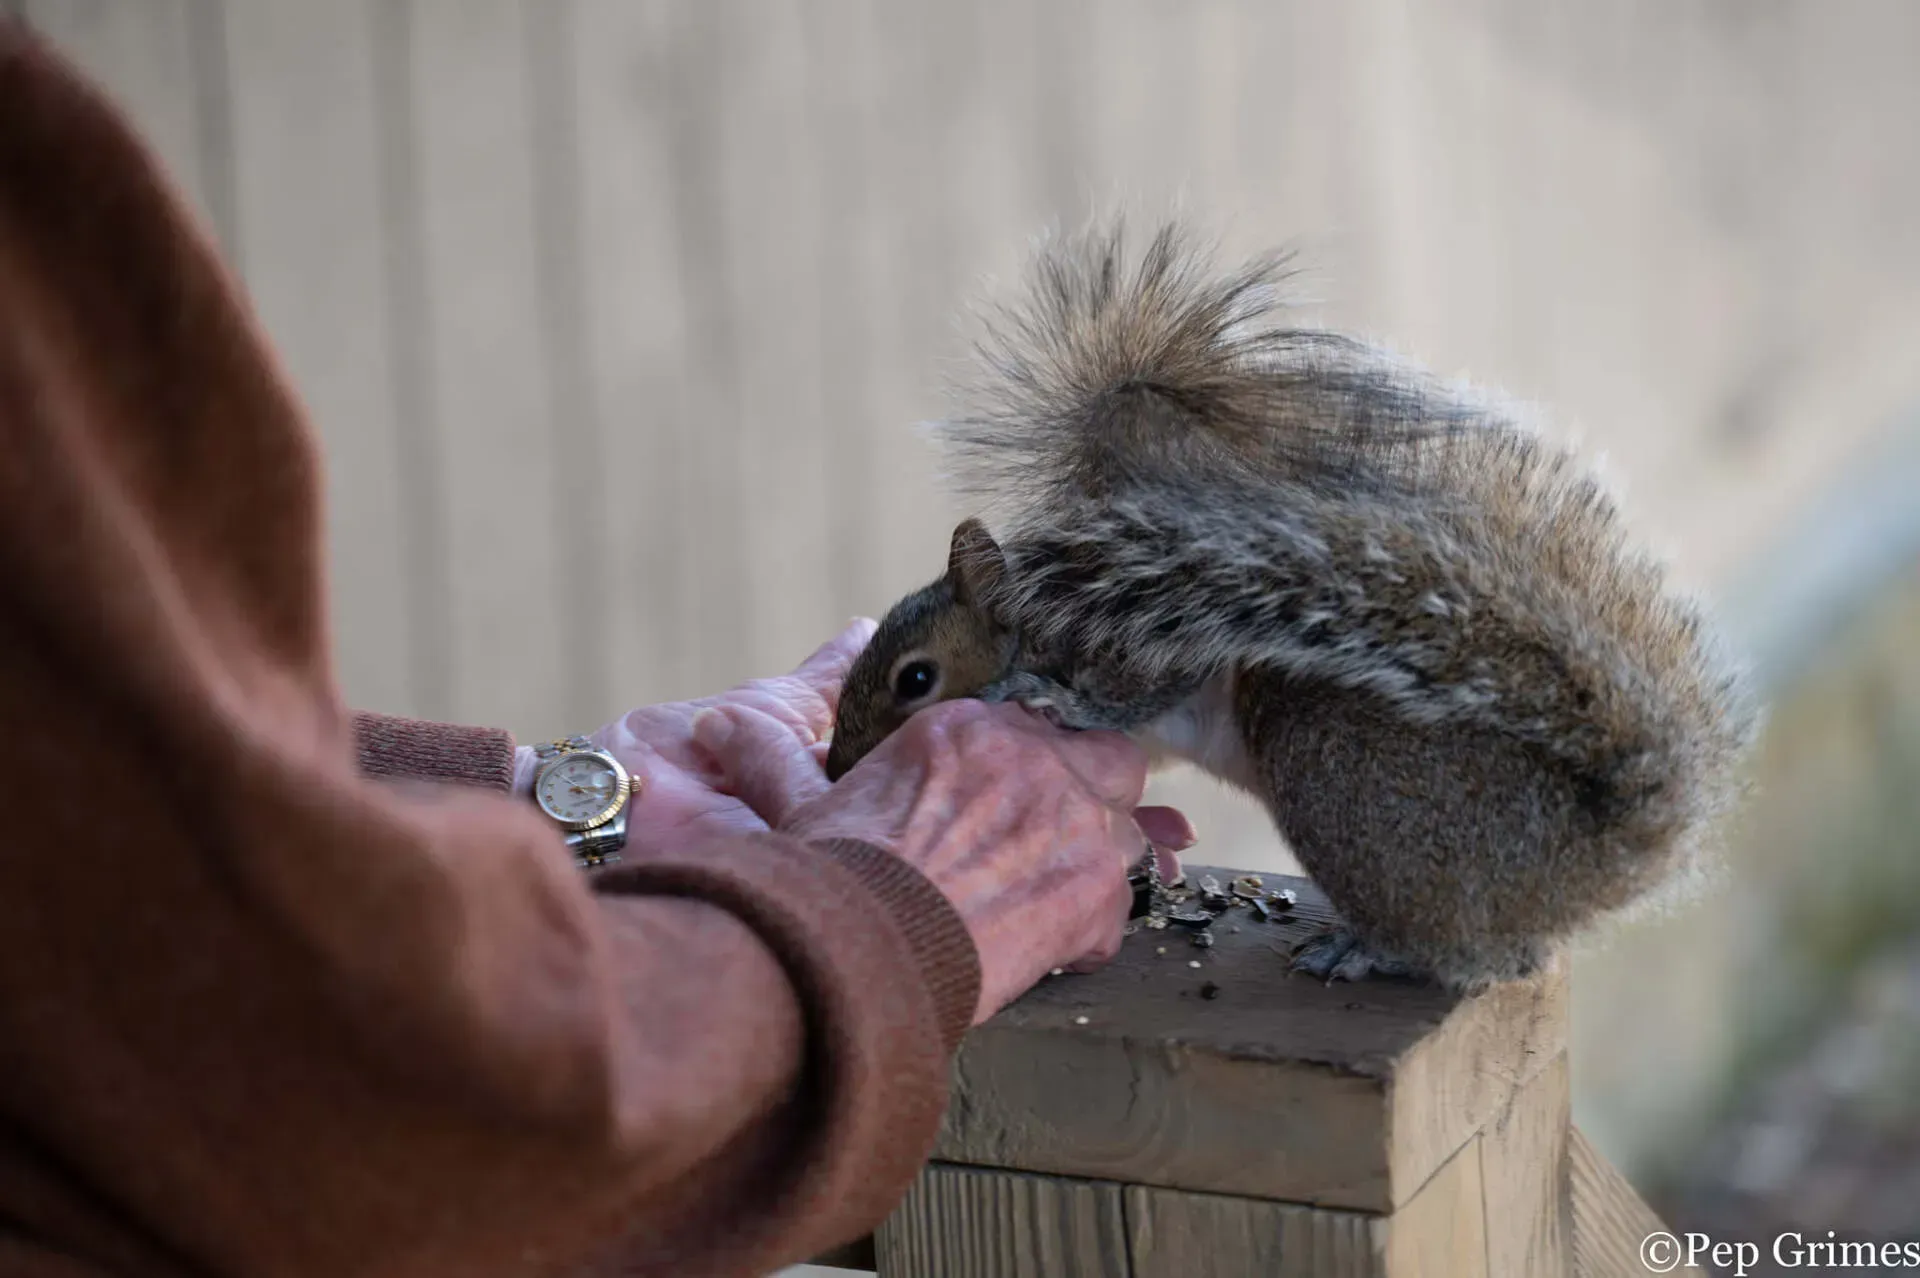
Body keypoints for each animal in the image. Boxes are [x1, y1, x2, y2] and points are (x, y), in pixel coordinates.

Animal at [823, 221, 1758, 994]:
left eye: (915, 679)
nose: (835, 772)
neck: (1036, 629)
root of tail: (1590, 861)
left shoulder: (1150, 635)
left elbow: (1137, 692)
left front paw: (1058, 702)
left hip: (1335, 772)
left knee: (1469, 958)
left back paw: (1367, 949)